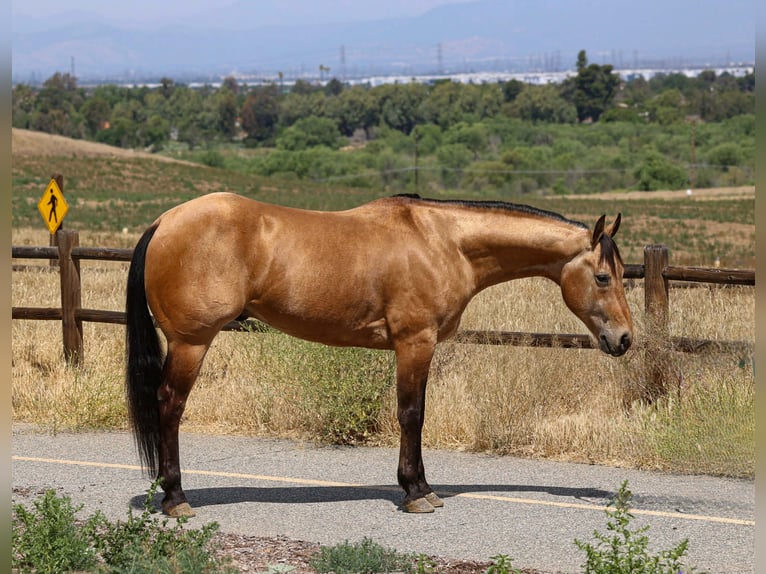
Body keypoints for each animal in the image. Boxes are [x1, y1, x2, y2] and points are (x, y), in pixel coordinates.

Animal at [125, 192, 633, 517]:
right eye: (603, 277)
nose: (625, 339)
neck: (444, 242)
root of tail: (164, 222)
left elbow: (416, 413)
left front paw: (421, 486)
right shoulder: (414, 343)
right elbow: (412, 415)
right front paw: (416, 493)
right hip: (192, 343)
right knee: (169, 406)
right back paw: (175, 499)